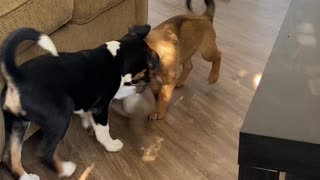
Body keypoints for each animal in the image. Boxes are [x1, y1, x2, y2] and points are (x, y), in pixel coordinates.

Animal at [0, 25, 160, 180]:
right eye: (147, 69)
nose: (149, 81)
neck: (117, 58)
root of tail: (17, 77)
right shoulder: (100, 106)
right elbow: (103, 130)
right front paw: (111, 145)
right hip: (60, 116)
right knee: (45, 152)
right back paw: (66, 170)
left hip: (17, 124)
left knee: (9, 156)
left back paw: (27, 177)